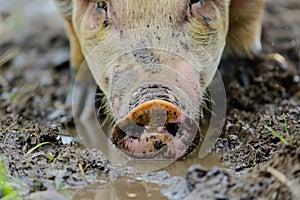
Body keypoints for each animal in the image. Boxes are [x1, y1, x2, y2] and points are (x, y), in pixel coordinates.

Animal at [52, 0, 266, 159]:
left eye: (196, 0)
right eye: (101, 5)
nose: (154, 103)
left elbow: (246, 20)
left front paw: (243, 81)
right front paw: (75, 115)